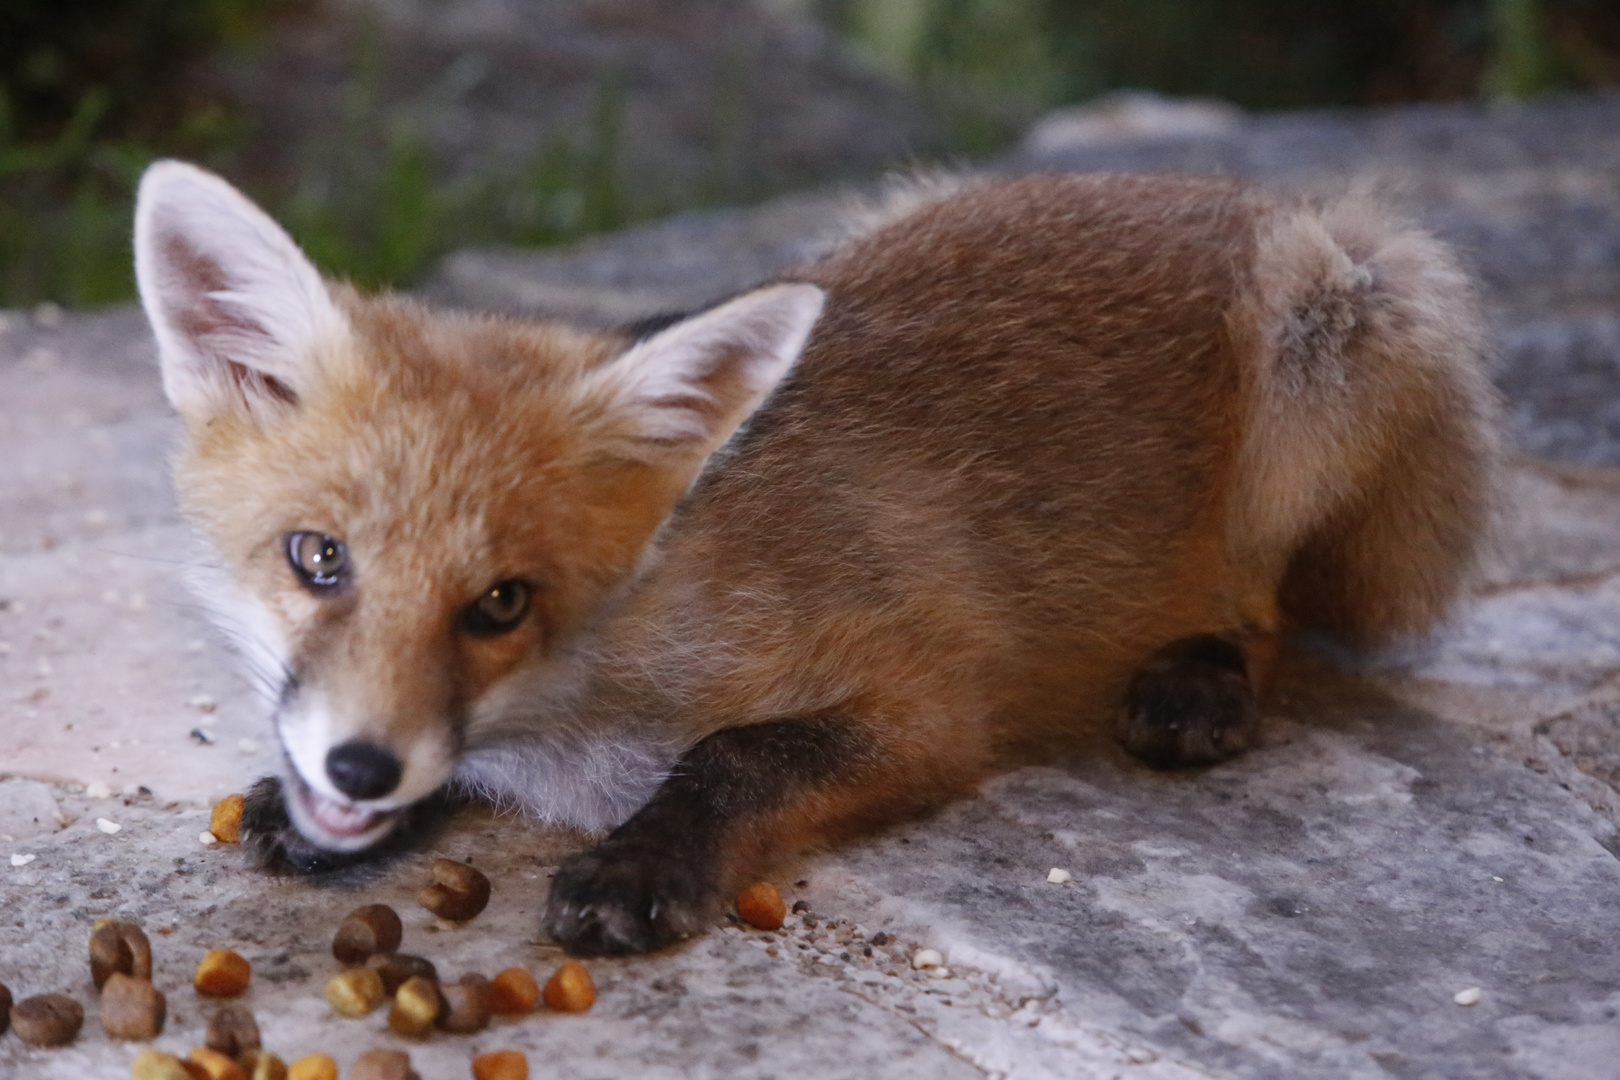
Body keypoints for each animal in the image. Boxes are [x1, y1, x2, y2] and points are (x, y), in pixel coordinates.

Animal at [132, 158, 1496, 952]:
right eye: (318, 557)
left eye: (502, 604)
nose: (358, 770)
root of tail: (1230, 187)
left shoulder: (932, 706)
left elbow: (737, 754)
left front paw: (642, 860)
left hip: (1327, 336)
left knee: (1271, 606)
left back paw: (1200, 676)